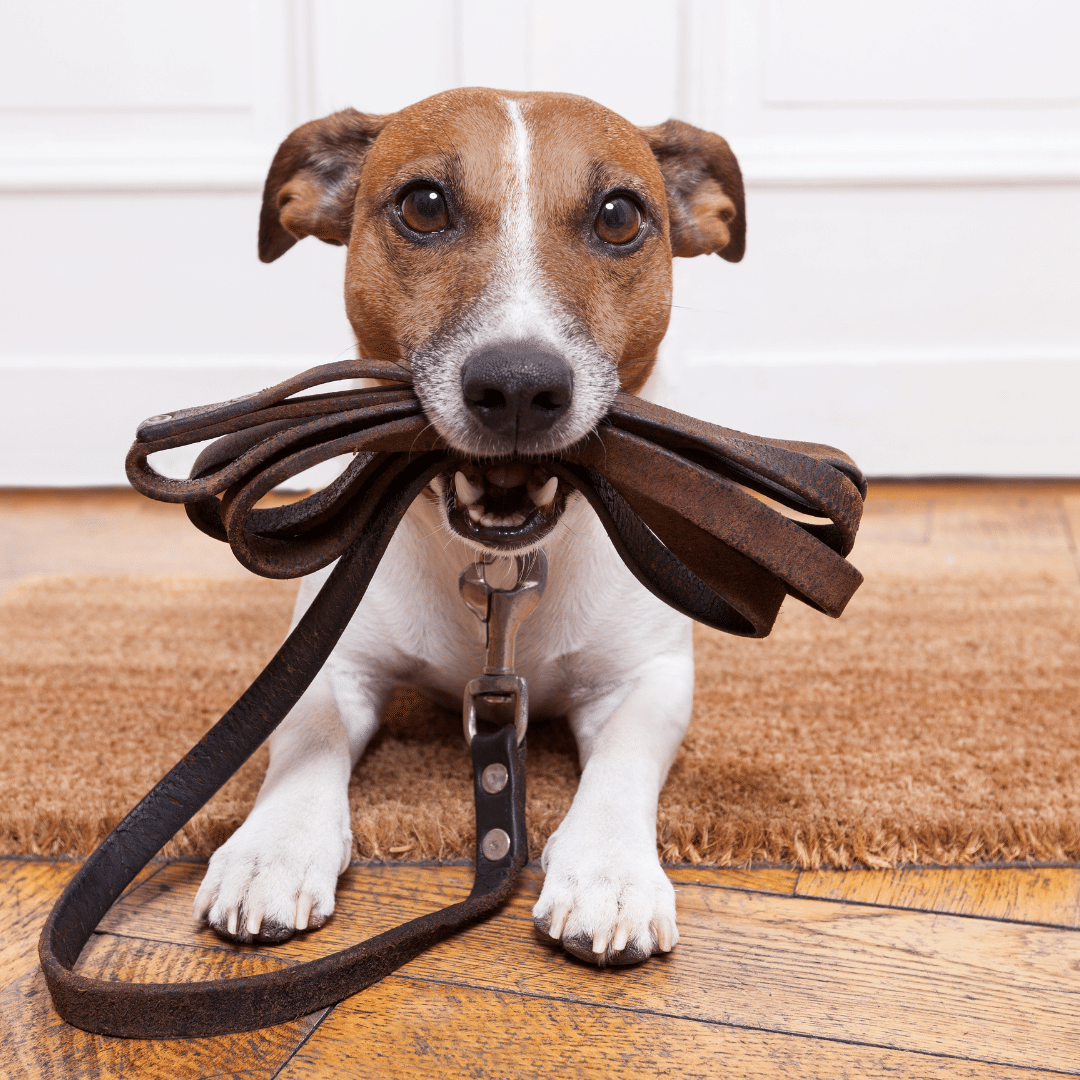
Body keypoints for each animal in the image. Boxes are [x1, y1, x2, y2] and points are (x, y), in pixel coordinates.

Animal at [192, 88, 743, 967]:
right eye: (424, 205)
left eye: (619, 215)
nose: (518, 386)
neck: (500, 566)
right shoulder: (331, 657)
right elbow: (306, 735)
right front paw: (271, 848)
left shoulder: (648, 678)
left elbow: (623, 762)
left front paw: (609, 871)